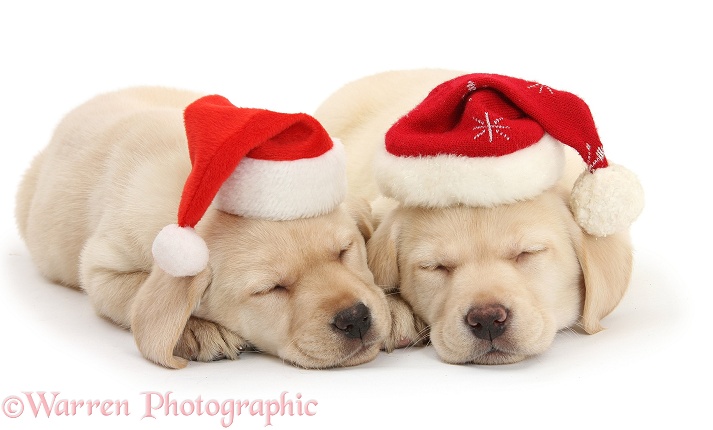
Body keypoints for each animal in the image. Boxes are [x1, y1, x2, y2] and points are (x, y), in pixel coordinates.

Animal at [15, 86, 390, 370]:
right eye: (270, 289)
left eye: (344, 251)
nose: (354, 318)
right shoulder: (102, 268)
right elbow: (135, 294)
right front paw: (197, 330)